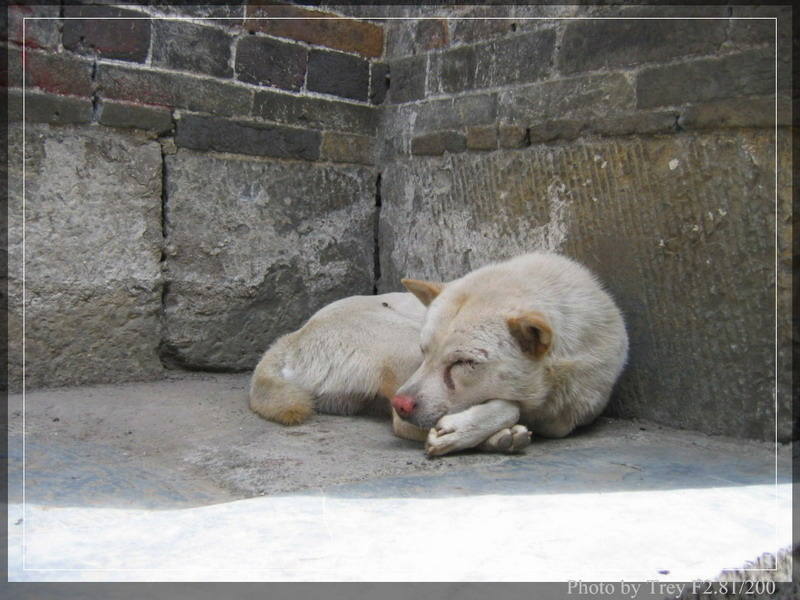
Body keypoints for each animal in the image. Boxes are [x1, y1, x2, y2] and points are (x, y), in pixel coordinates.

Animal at [393, 252, 629, 456]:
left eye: (465, 362)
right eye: (424, 351)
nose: (400, 404)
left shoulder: (574, 408)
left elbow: (517, 406)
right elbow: (513, 406)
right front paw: (466, 429)